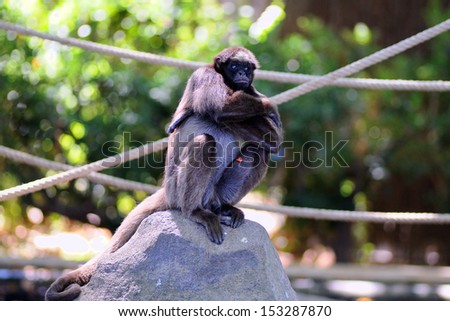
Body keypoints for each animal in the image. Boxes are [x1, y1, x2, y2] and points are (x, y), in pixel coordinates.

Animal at [46, 46, 284, 298]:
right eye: (234, 66)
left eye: (246, 67)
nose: (241, 74)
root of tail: (167, 190)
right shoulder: (204, 75)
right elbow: (220, 109)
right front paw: (268, 104)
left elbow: (272, 139)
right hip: (178, 188)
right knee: (204, 141)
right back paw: (195, 212)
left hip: (216, 192)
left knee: (258, 150)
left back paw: (224, 208)